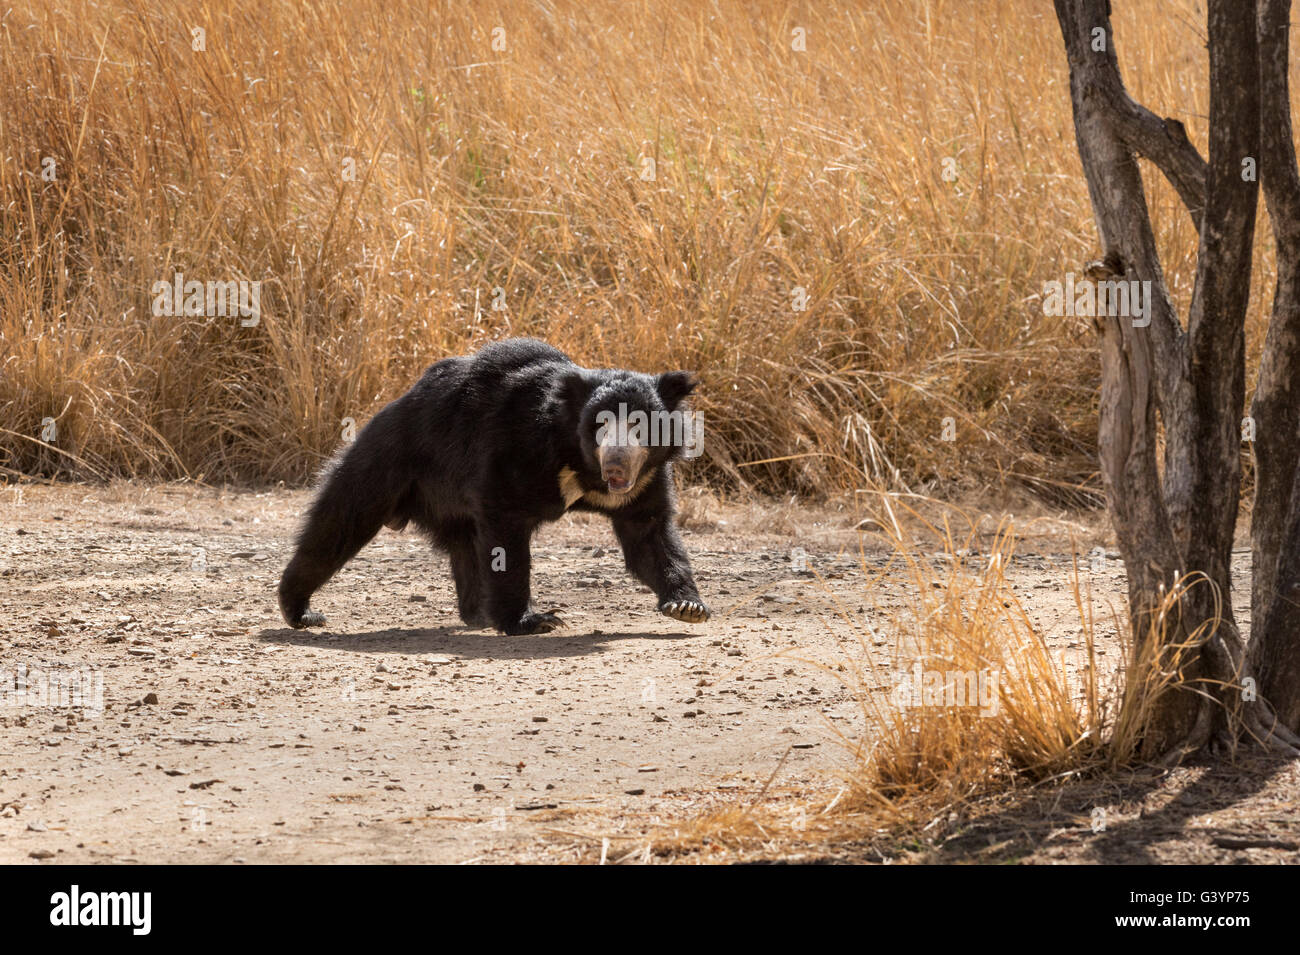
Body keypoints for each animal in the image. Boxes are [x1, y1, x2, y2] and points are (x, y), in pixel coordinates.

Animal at [278, 338, 710, 636]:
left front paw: (688, 607)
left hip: (449, 506)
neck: (581, 466)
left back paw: (477, 613)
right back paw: (301, 611)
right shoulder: (518, 453)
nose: (616, 464)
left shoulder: (646, 479)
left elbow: (649, 536)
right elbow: (506, 533)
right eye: (600, 424)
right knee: (339, 522)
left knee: (466, 548)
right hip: (388, 461)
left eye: (639, 424)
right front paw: (532, 620)